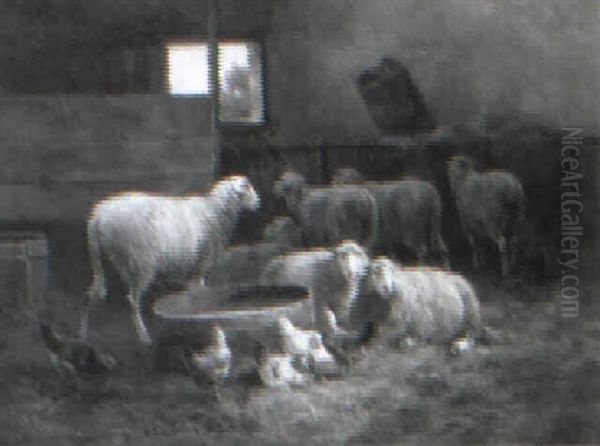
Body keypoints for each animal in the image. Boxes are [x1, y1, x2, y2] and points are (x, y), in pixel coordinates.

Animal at [81, 176, 258, 344]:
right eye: (246, 187)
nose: (258, 202)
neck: (215, 212)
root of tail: (98, 217)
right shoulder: (200, 264)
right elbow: (198, 294)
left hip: (111, 260)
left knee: (94, 292)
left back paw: (86, 333)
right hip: (141, 261)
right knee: (132, 300)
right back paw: (144, 336)